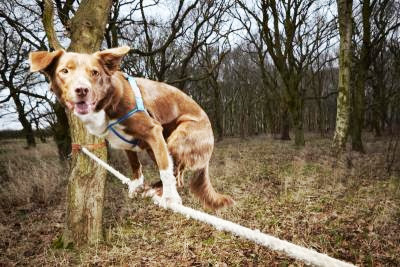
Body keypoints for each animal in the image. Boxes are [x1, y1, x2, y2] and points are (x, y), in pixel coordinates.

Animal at [29, 46, 233, 211]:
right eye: (64, 71)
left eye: (95, 72)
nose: (81, 90)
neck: (107, 102)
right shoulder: (127, 143)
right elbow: (135, 164)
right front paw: (136, 185)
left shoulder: (153, 130)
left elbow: (165, 168)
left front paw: (170, 198)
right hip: (159, 146)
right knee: (178, 174)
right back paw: (153, 188)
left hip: (179, 137)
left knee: (175, 173)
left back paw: (160, 192)